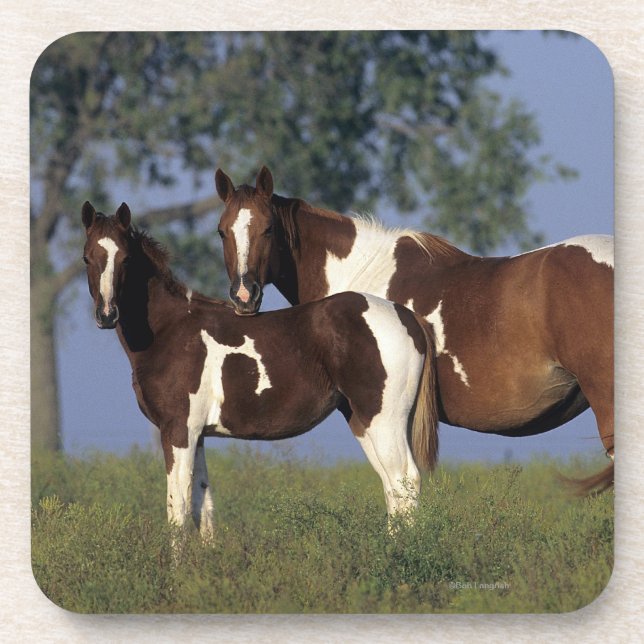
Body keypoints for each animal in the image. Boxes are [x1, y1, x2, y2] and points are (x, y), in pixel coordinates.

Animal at [81, 201, 440, 536]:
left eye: (126, 258)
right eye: (87, 258)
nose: (107, 314)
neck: (171, 329)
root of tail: (407, 317)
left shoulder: (178, 430)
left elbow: (178, 510)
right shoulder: (197, 435)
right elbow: (202, 507)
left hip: (384, 420)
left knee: (404, 480)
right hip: (364, 420)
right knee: (392, 487)